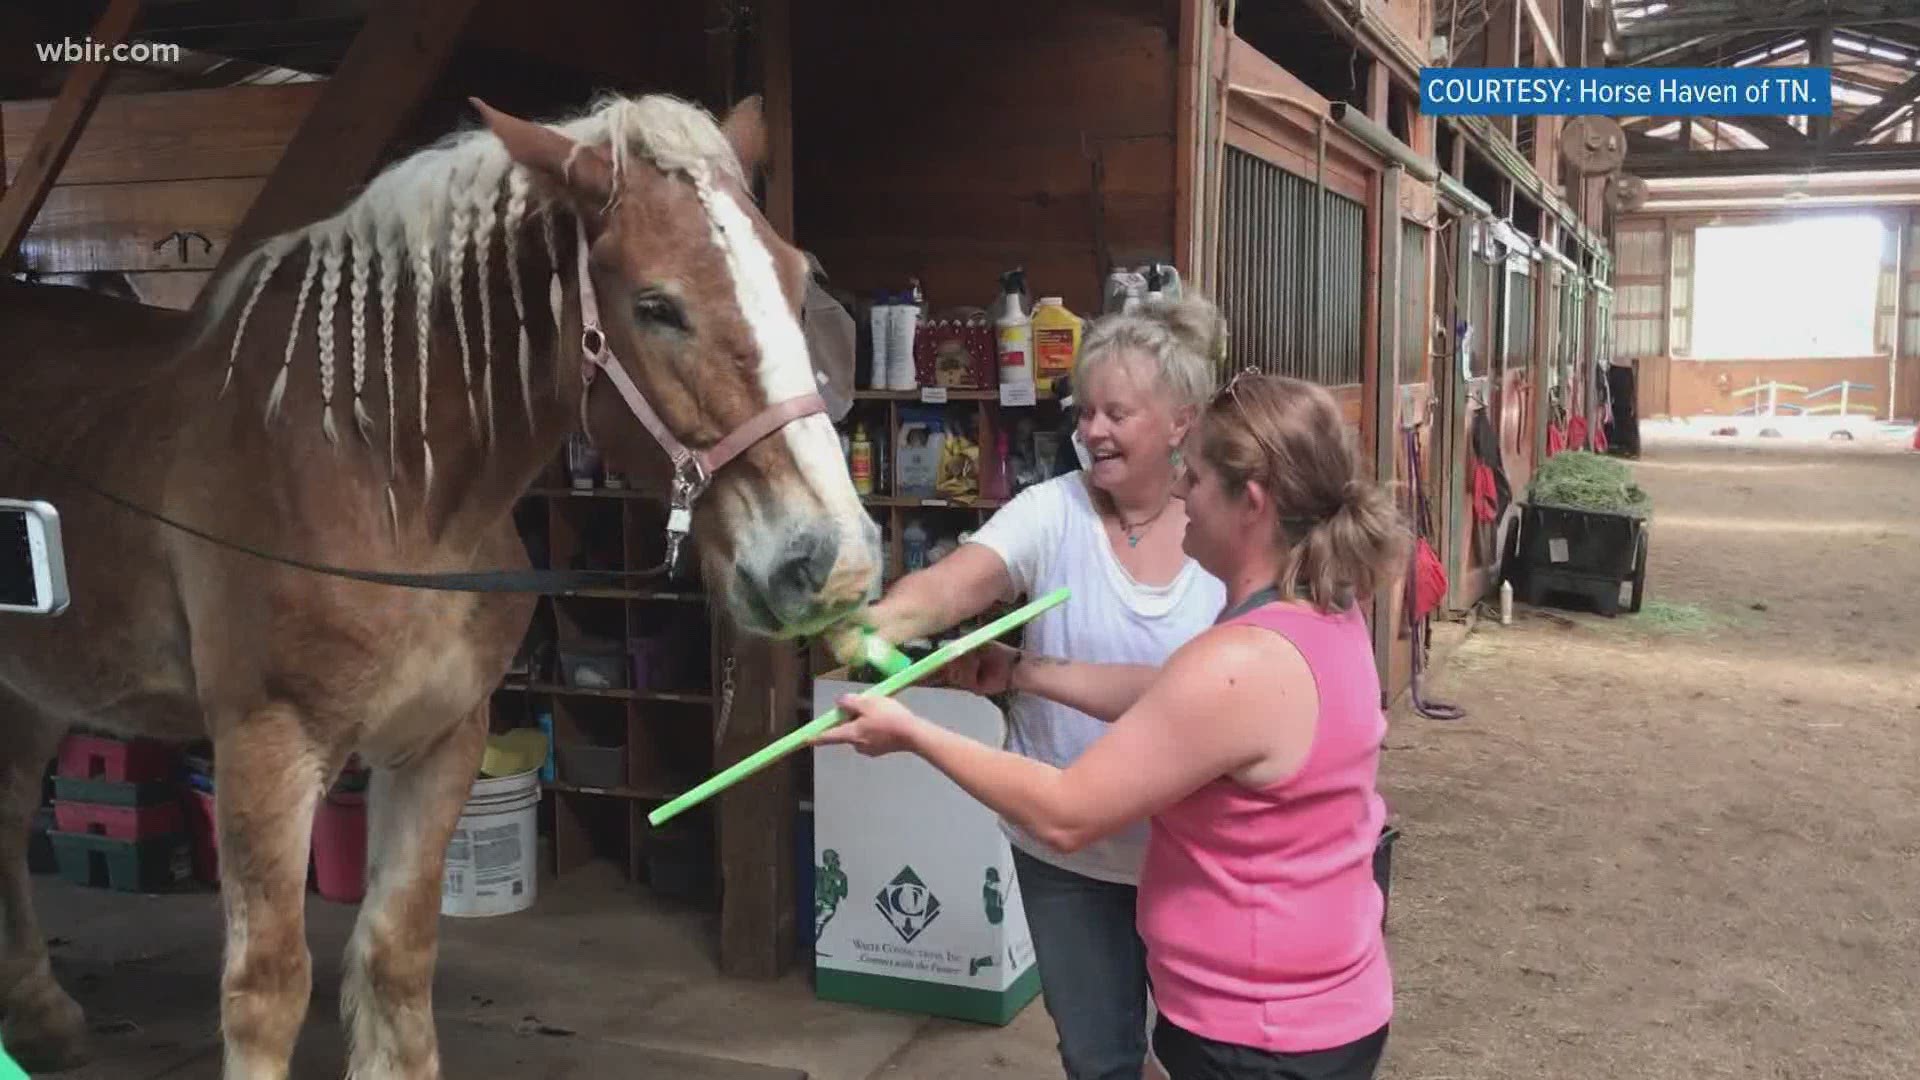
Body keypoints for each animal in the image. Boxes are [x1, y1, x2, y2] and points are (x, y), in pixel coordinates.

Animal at [0, 88, 879, 1068]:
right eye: (657, 305)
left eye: (797, 280)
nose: (828, 559)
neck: (385, 483)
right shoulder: (264, 746)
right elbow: (266, 988)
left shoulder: (444, 739)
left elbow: (396, 955)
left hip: (32, 691)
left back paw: (40, 1016)